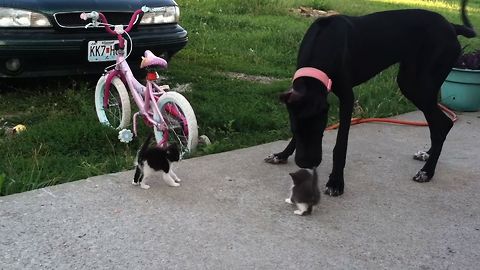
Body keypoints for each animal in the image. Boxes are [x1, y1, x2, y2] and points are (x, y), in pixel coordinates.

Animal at [268, 0, 474, 195]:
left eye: (320, 130)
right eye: (295, 129)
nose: (306, 163)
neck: (324, 41)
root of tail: (451, 26)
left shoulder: (347, 97)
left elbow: (340, 144)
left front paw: (335, 182)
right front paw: (282, 154)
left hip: (416, 85)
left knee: (443, 124)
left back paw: (427, 172)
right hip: (417, 82)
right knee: (437, 124)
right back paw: (427, 154)